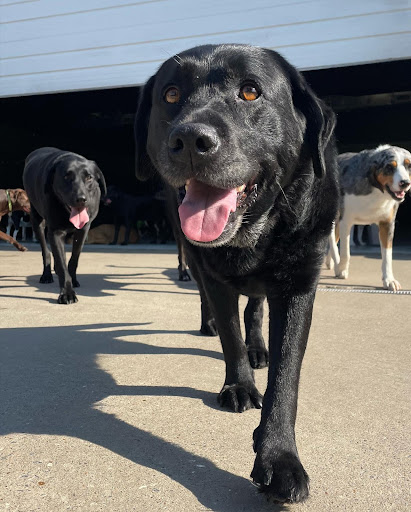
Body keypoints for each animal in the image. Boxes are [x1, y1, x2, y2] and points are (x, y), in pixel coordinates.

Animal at [22, 146, 107, 302]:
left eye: (89, 177)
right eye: (66, 177)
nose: (81, 199)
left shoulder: (83, 230)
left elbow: (73, 259)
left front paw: (73, 280)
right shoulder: (55, 231)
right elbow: (62, 264)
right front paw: (67, 293)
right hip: (36, 219)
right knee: (46, 251)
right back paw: (46, 275)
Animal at [134, 45, 340, 504]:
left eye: (250, 92)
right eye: (170, 94)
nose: (190, 141)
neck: (255, 231)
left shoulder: (299, 284)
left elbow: (286, 376)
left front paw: (279, 456)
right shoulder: (211, 273)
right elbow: (229, 333)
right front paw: (240, 385)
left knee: (256, 308)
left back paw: (258, 347)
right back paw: (213, 328)